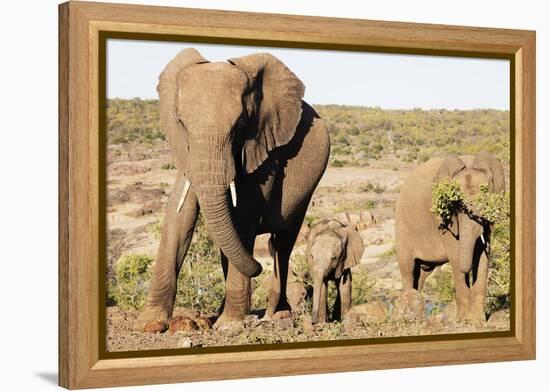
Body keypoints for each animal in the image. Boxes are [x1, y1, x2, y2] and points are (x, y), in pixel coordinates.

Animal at [135, 47, 330, 332]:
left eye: (239, 125)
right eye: (181, 122)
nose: (258, 266)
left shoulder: (263, 145)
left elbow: (245, 214)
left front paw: (230, 324)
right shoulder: (187, 152)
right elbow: (179, 215)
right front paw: (149, 323)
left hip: (309, 187)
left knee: (283, 243)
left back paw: (278, 313)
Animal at [396, 152, 508, 324]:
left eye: (485, 198)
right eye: (454, 203)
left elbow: (483, 256)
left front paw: (477, 321)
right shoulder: (444, 219)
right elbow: (456, 255)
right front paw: (463, 320)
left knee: (421, 274)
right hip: (403, 228)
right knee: (408, 269)